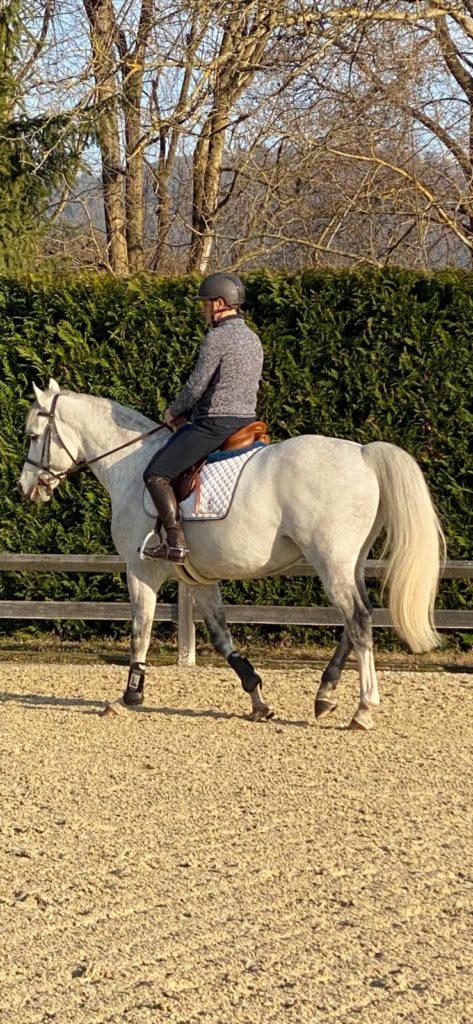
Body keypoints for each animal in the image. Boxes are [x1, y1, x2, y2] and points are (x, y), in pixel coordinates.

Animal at [17, 382, 444, 729]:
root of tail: (363, 453)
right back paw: (325, 695)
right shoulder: (199, 579)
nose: (25, 488)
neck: (130, 463)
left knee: (357, 619)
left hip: (331, 562)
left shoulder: (140, 571)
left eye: (33, 436)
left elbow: (140, 632)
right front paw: (257, 699)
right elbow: (222, 638)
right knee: (357, 620)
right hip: (348, 563)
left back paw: (363, 709)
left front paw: (128, 697)